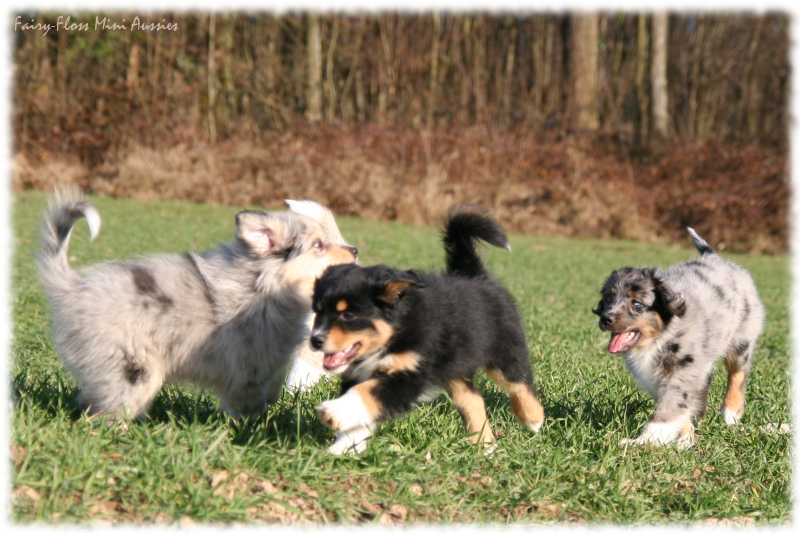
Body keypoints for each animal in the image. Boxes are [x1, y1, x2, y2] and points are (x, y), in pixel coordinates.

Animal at [306, 204, 544, 454]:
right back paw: (484, 445)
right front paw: (342, 449)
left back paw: (533, 419)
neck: (396, 331)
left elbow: (367, 393)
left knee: (519, 382)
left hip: (505, 349)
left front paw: (332, 412)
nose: (315, 341)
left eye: (348, 315)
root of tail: (474, 275)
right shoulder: (358, 375)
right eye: (318, 311)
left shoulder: (410, 374)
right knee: (472, 401)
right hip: (455, 367)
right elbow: (361, 415)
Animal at [592, 227, 764, 446]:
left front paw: (644, 442)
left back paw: (731, 414)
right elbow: (678, 406)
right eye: (608, 299)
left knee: (738, 373)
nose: (606, 319)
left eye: (637, 303)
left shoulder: (682, 369)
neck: (658, 338)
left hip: (741, 338)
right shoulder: (655, 377)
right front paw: (685, 438)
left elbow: (669, 409)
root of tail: (715, 257)